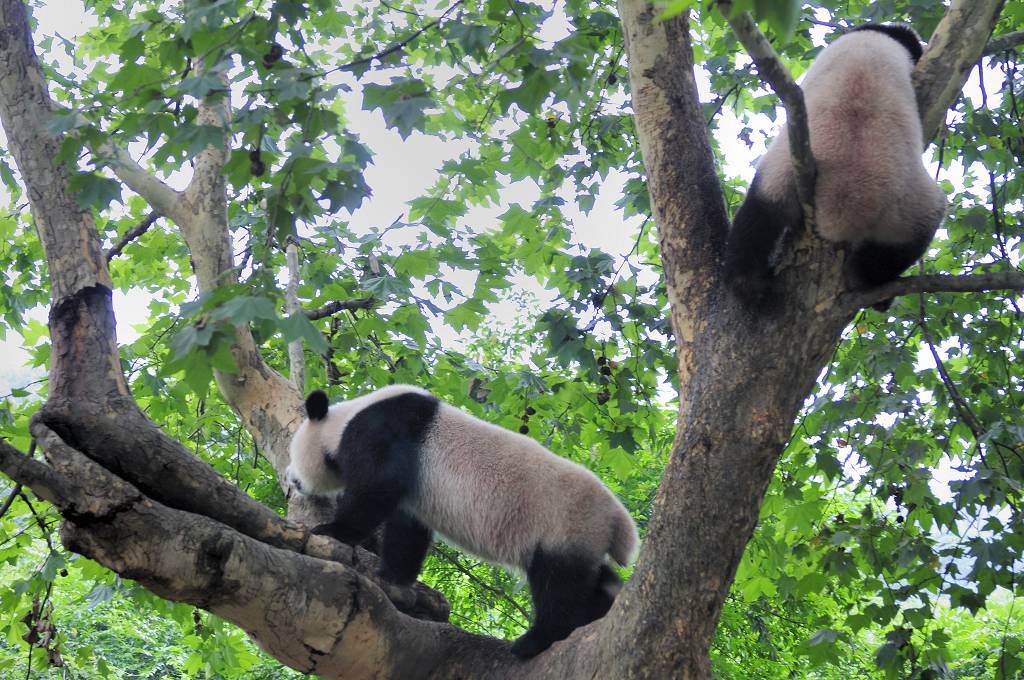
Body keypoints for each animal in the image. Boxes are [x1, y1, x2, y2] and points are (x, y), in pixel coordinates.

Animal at [284, 387, 634, 659]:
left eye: (292, 455)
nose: (290, 480)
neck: (344, 419)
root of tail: (619, 522)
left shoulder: (383, 432)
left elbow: (377, 488)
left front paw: (333, 530)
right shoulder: (412, 495)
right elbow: (407, 531)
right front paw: (393, 577)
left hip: (563, 522)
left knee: (558, 585)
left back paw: (534, 642)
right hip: (581, 536)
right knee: (591, 579)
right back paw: (604, 602)